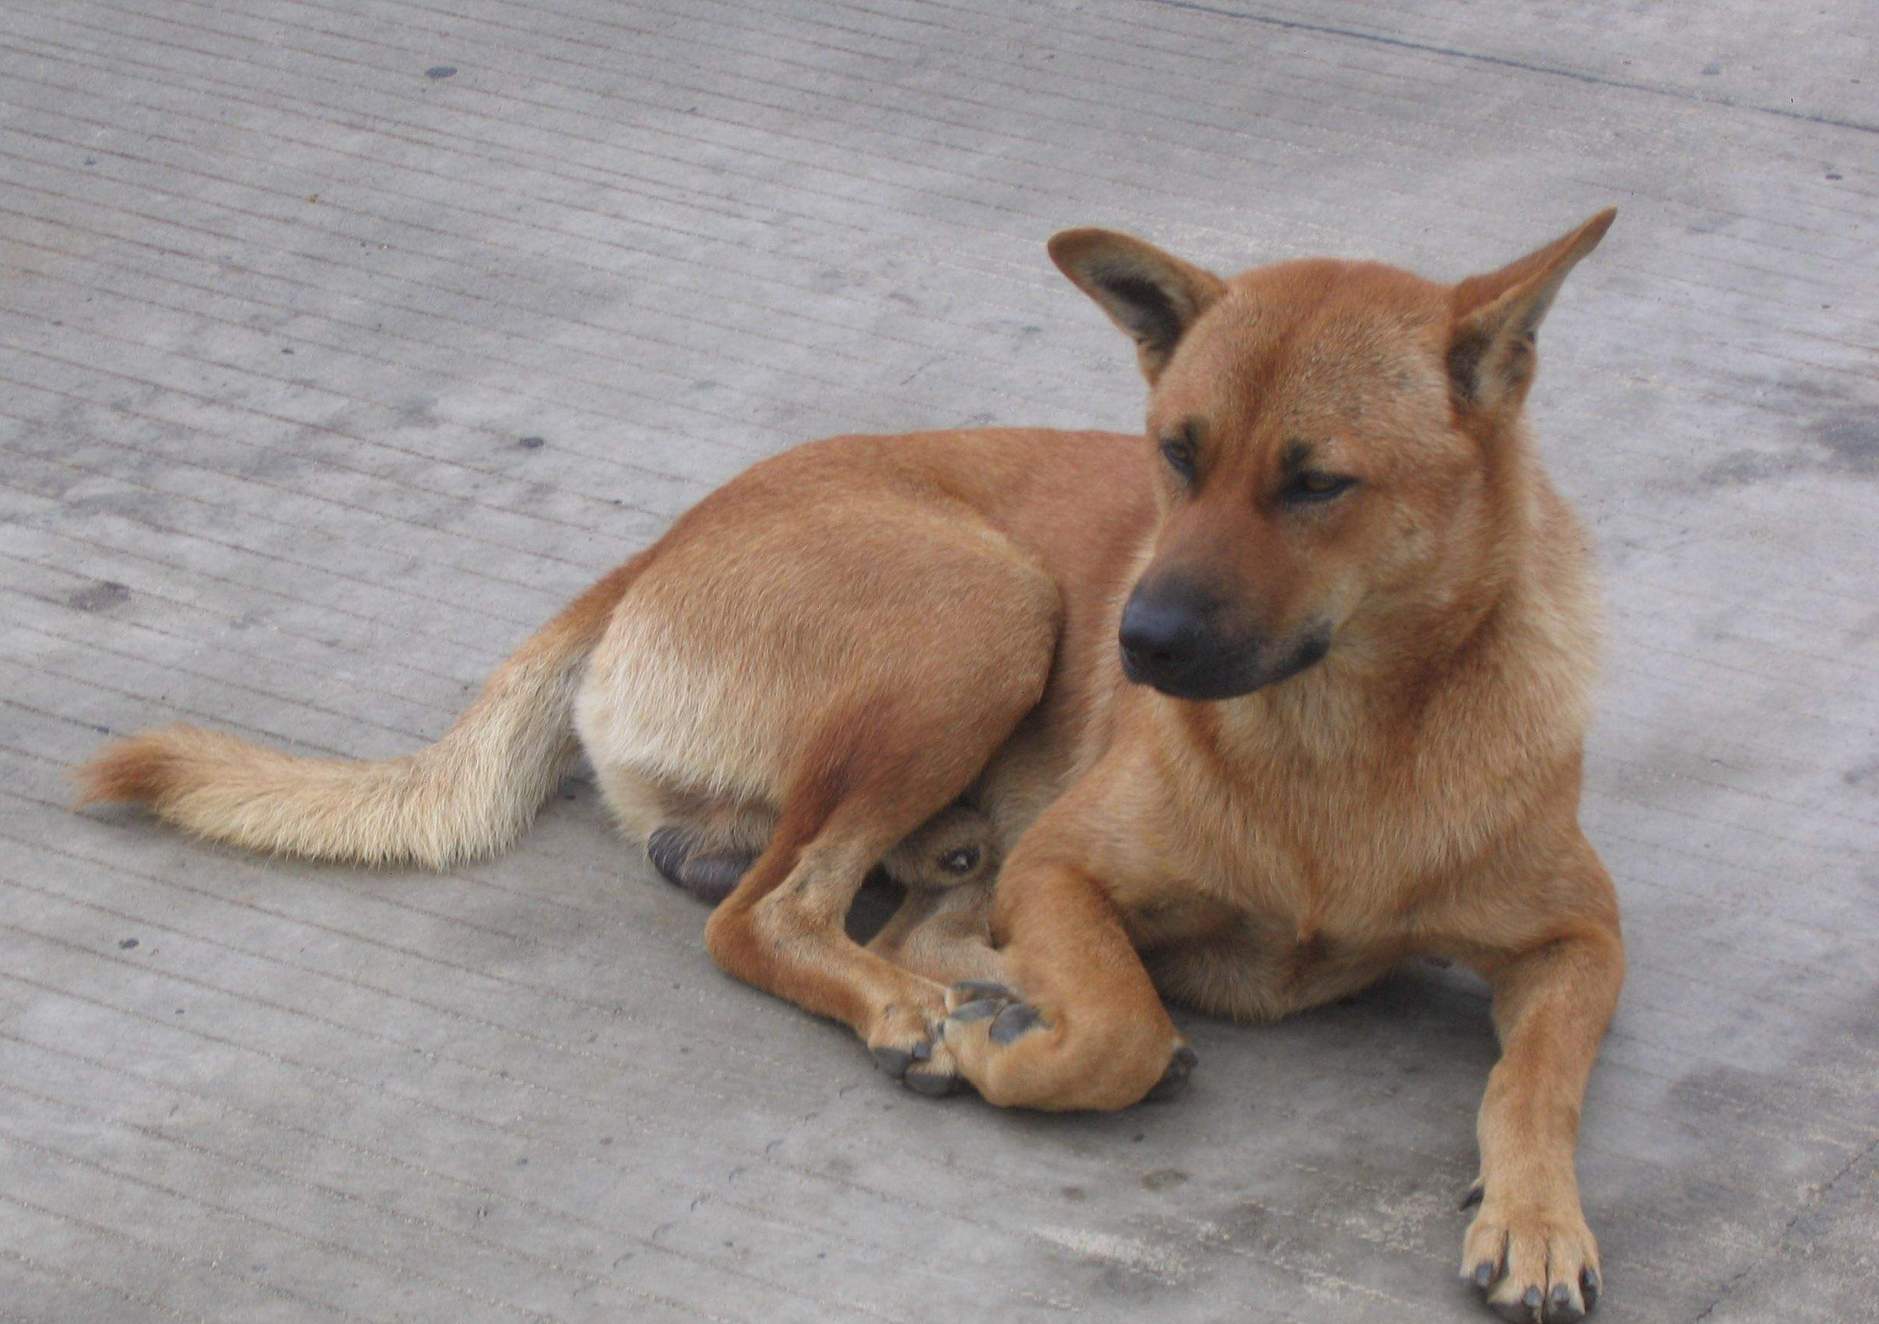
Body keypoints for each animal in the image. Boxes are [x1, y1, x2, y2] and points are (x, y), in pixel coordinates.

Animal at [80, 212, 1623, 1314]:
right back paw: (921, 1007)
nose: (1135, 639)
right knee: (767, 913)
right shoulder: (1067, 861)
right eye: (1172, 454)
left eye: (1315, 483)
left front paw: (1537, 1218)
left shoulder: (1580, 940)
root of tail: (660, 543)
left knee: (839, 892)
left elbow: (1534, 1077)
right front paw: (1033, 1051)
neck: (1342, 742)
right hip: (986, 606)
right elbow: (1115, 1030)